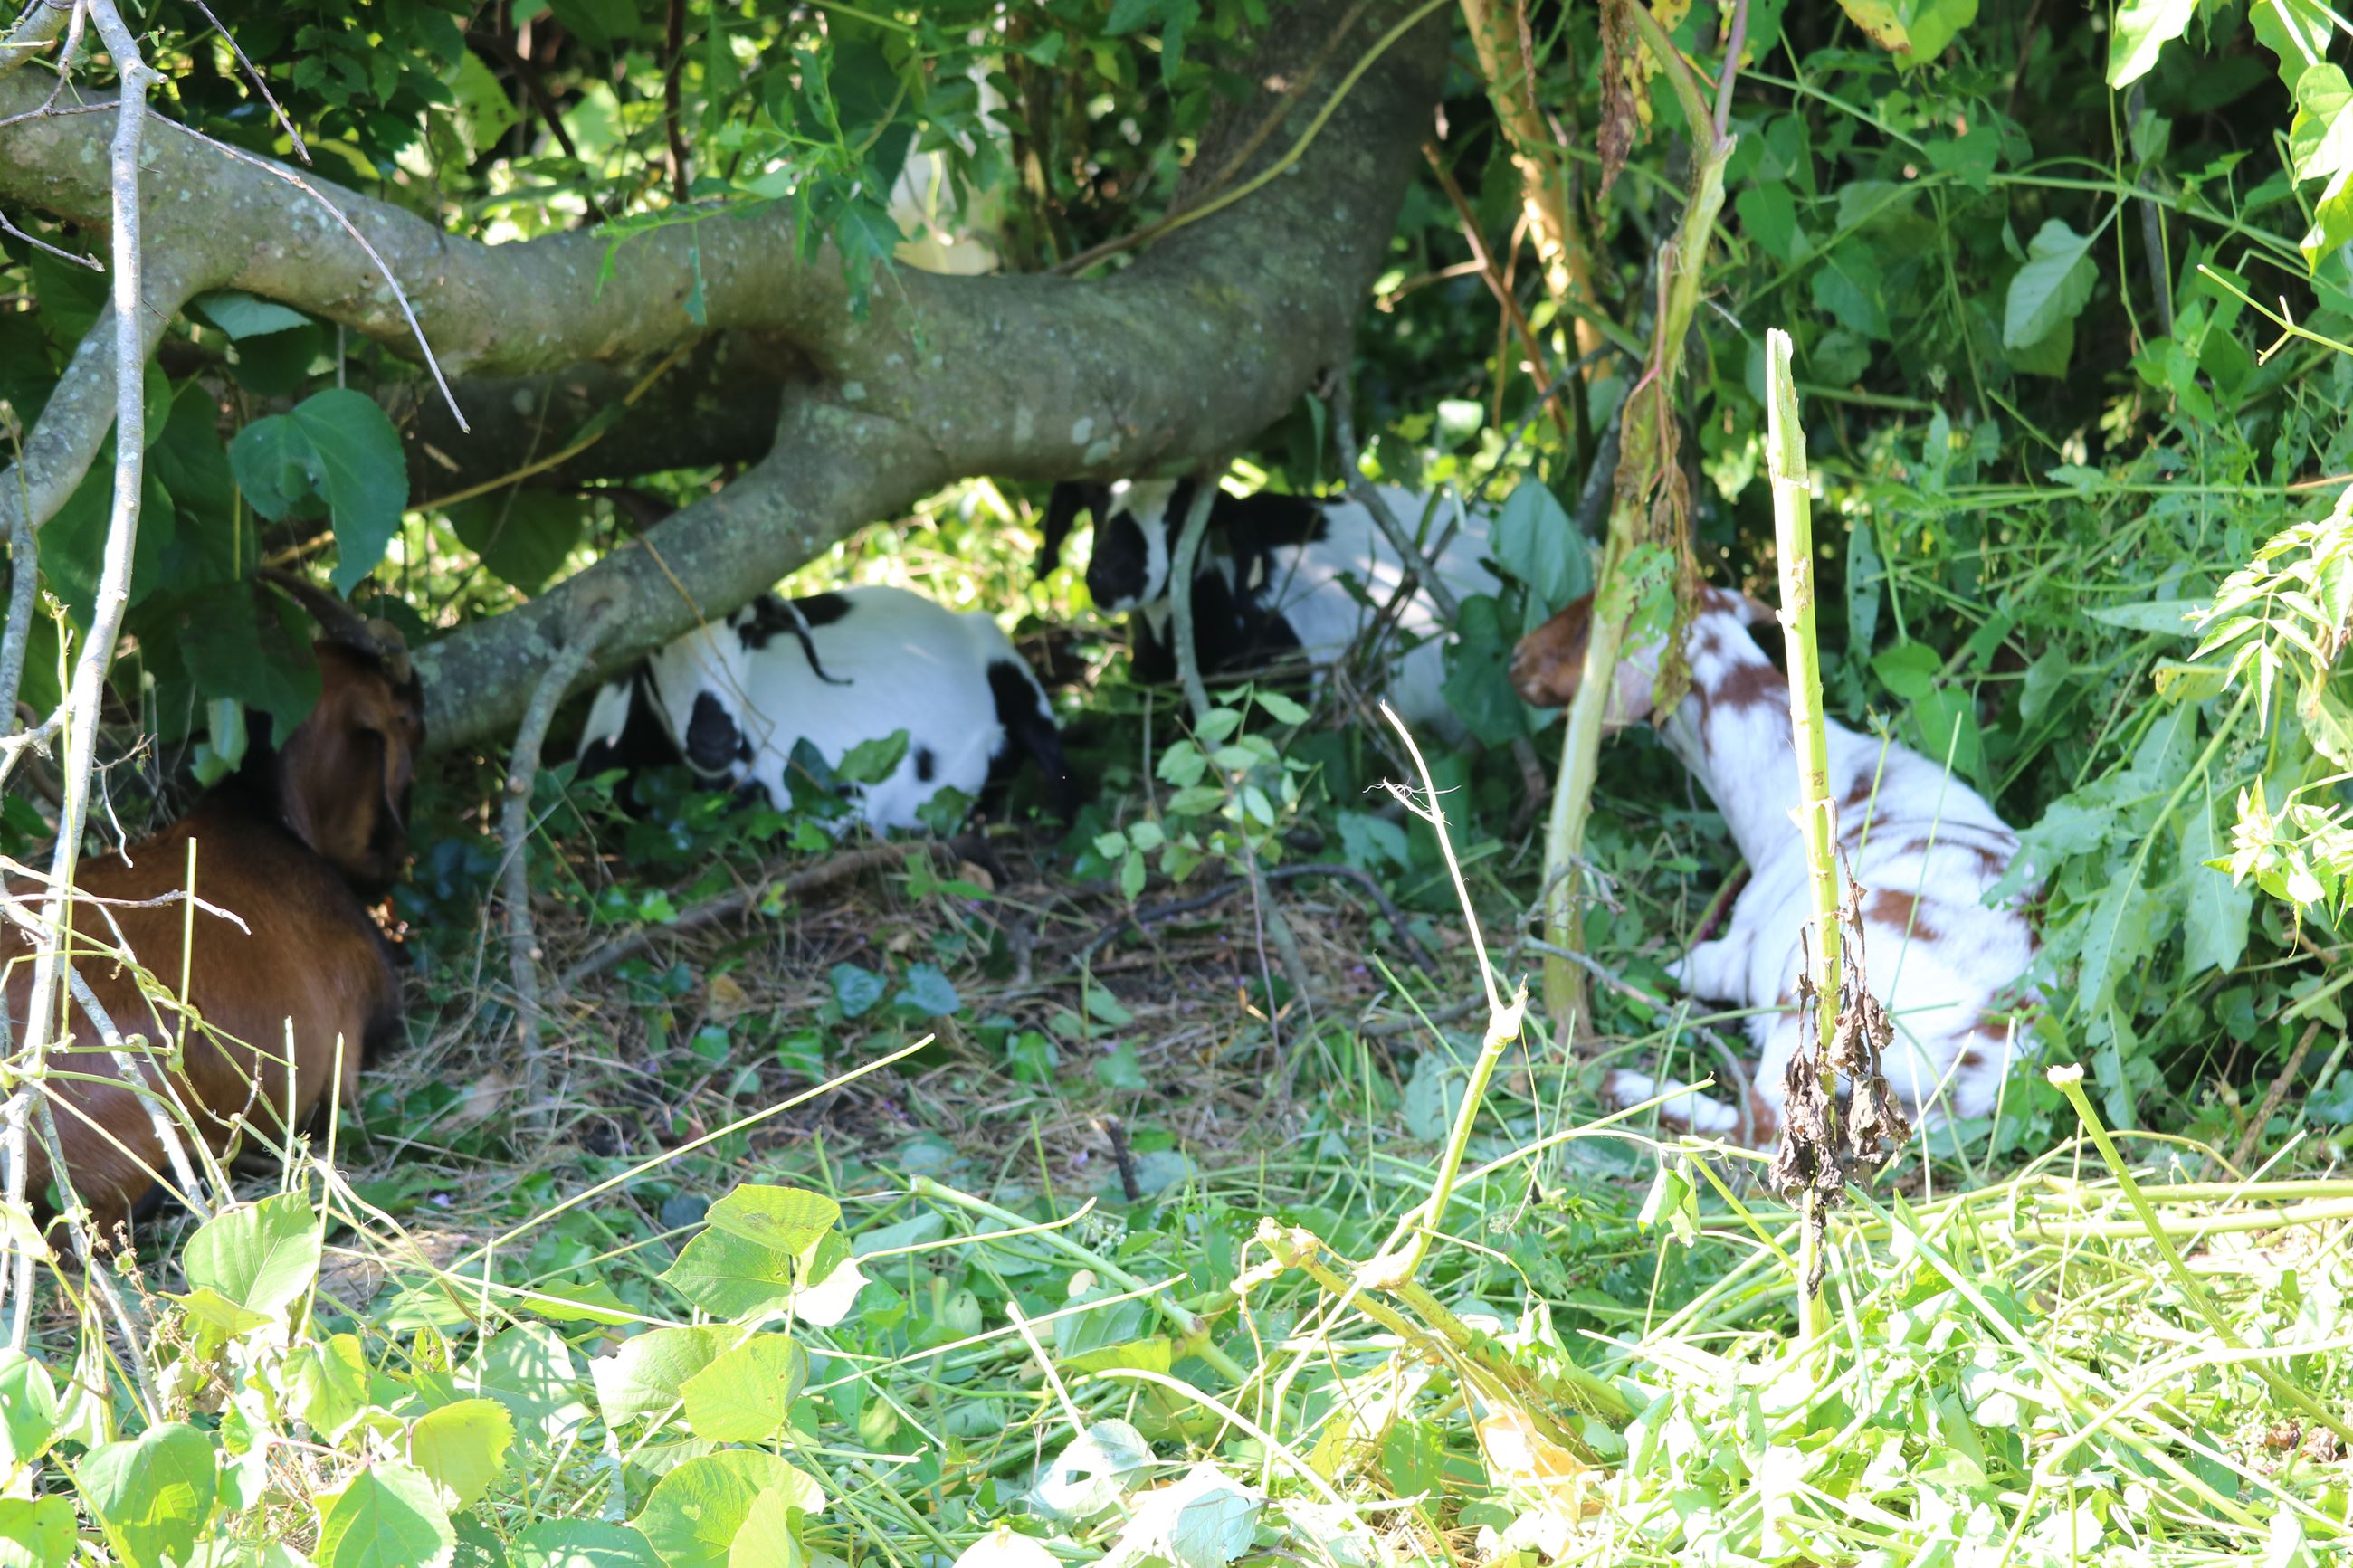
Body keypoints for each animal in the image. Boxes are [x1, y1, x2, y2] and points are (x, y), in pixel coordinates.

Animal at [1509, 586, 2037, 1147]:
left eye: (1590, 625)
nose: (1517, 659)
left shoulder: (1734, 952)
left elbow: (1684, 968)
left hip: (1815, 996)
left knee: (1762, 1124)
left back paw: (1626, 1086)